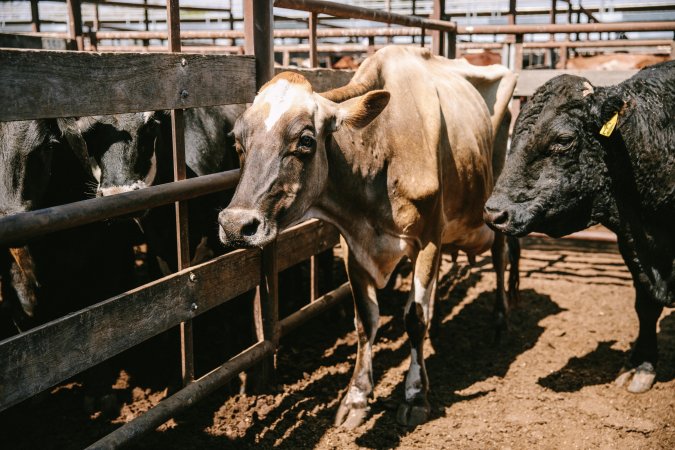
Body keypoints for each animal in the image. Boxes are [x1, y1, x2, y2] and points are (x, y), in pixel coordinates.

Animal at [219, 46, 520, 428]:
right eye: (236, 141)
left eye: (305, 140)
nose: (235, 225)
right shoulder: (353, 246)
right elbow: (365, 321)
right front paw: (356, 397)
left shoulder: (428, 239)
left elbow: (414, 318)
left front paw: (415, 394)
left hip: (496, 208)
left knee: (501, 256)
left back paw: (502, 320)